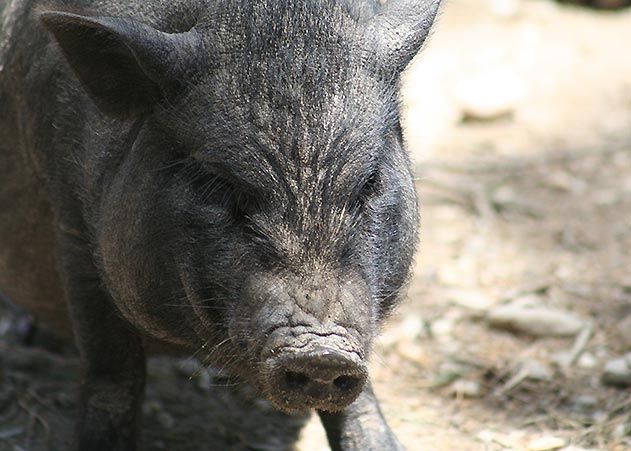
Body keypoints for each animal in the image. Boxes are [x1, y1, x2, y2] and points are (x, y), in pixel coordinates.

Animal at [0, 0, 442, 450]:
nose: (320, 354)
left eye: (369, 183)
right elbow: (114, 372)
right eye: (219, 183)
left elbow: (357, 399)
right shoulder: (70, 229)